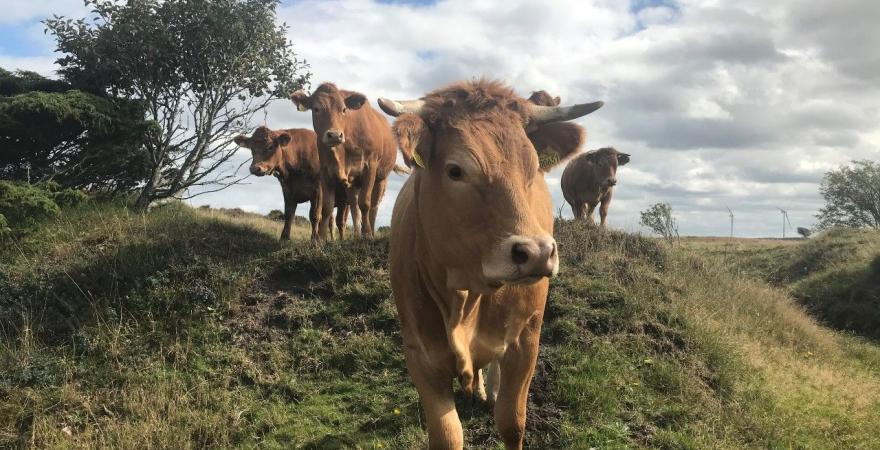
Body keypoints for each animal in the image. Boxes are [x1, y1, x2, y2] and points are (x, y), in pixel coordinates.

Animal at [288, 82, 398, 241]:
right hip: (353, 185)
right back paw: (357, 235)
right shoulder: (326, 171)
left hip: (381, 178)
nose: (334, 135)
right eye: (316, 109)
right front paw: (320, 239)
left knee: (373, 207)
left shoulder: (370, 167)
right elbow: (327, 208)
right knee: (354, 207)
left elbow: (365, 203)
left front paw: (367, 234)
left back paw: (370, 231)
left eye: (344, 109)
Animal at [378, 79, 604, 448]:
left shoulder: (526, 341)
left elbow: (511, 422)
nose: (536, 252)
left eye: (532, 166)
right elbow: (447, 434)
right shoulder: (420, 355)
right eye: (455, 170)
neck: (465, 297)